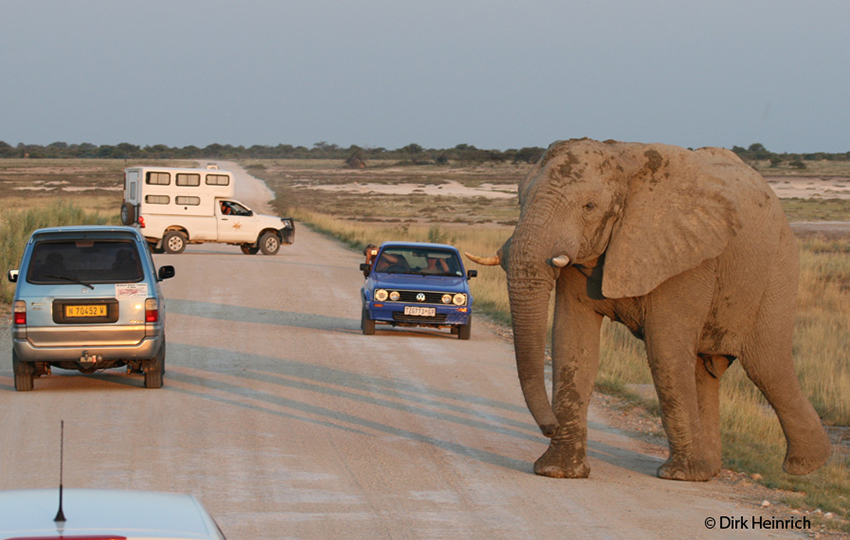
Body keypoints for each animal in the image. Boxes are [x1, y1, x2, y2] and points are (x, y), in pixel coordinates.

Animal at [464, 138, 828, 480]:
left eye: (589, 206)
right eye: (520, 201)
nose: (549, 426)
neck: (625, 162)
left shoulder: (687, 255)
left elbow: (665, 350)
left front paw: (679, 475)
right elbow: (573, 343)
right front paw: (558, 471)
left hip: (778, 267)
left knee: (767, 365)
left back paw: (806, 466)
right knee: (704, 371)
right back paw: (709, 471)